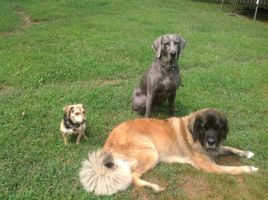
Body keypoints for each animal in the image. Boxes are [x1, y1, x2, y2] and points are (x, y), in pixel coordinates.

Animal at [79, 108, 258, 195]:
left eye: (218, 128)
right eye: (203, 127)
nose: (211, 141)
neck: (194, 135)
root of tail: (106, 145)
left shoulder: (216, 150)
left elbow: (229, 149)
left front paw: (246, 153)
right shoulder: (211, 166)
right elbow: (234, 169)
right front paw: (250, 168)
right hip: (151, 152)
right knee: (133, 177)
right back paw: (154, 187)